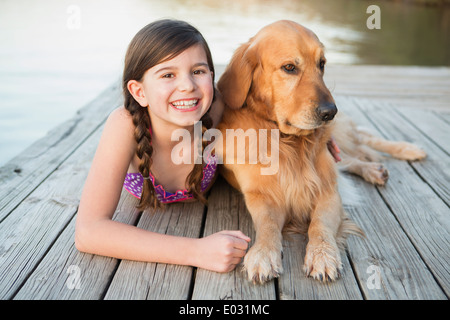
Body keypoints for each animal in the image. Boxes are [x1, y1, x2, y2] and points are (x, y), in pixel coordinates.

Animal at [214, 20, 426, 282]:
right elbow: (267, 226)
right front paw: (263, 253)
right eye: (289, 67)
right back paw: (374, 169)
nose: (330, 112)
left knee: (362, 140)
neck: (289, 142)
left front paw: (322, 254)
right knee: (352, 156)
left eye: (322, 64)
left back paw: (407, 149)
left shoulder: (328, 192)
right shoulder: (262, 197)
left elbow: (319, 225)